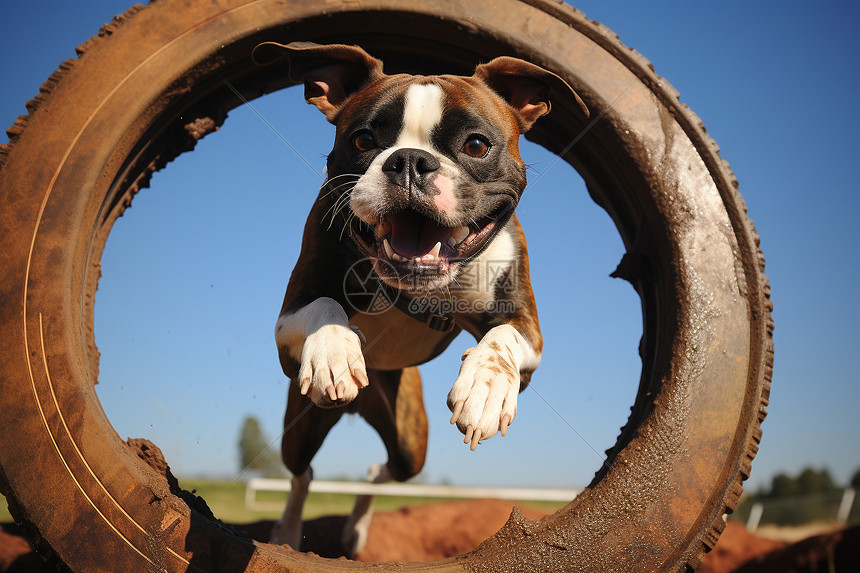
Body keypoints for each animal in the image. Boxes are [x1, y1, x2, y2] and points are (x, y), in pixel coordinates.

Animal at [255, 40, 588, 556]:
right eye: (363, 140)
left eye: (476, 145)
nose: (409, 161)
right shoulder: (289, 316)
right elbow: (325, 307)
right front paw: (334, 351)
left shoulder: (526, 328)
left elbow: (501, 340)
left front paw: (485, 389)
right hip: (306, 420)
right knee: (301, 473)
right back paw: (288, 533)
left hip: (411, 440)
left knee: (381, 471)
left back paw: (357, 529)